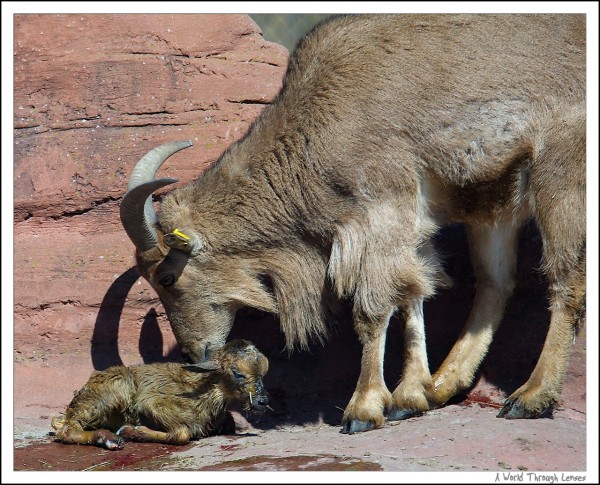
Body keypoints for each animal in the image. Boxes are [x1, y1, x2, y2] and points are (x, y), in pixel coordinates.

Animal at [51, 338, 270, 448]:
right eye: (237, 373)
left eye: (264, 371)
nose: (262, 401)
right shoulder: (152, 402)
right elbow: (182, 433)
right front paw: (131, 430)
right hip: (114, 390)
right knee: (66, 429)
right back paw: (110, 439)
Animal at [119, 14, 584, 434]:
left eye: (167, 278)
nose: (192, 354)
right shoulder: (407, 226)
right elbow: (413, 295)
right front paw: (410, 397)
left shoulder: (379, 215)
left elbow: (372, 309)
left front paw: (364, 407)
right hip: (495, 199)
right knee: (495, 283)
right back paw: (444, 384)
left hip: (560, 177)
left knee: (567, 283)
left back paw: (531, 397)